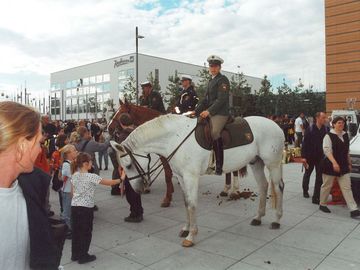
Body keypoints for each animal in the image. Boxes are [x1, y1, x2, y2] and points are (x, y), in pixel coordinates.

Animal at [111, 114, 286, 247]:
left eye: (128, 165)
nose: (138, 189)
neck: (175, 138)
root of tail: (276, 126)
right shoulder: (181, 177)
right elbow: (186, 203)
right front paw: (186, 229)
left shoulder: (191, 177)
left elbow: (192, 204)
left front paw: (191, 236)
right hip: (256, 163)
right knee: (263, 186)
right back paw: (258, 217)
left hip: (273, 164)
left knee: (278, 188)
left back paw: (277, 220)